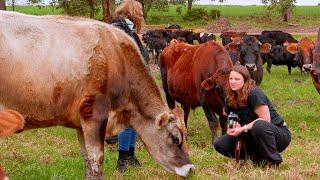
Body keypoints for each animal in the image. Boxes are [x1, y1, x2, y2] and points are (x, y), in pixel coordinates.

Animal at [0, 10, 194, 179]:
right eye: (175, 138)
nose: (191, 168)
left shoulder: (80, 122)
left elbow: (87, 160)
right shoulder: (94, 113)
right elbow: (96, 161)